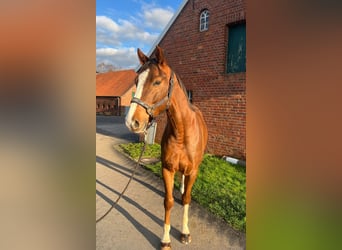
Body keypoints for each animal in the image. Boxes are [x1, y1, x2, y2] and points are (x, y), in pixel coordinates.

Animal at [125, 46, 207, 249]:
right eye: (136, 81)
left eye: (157, 82)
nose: (131, 122)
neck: (182, 132)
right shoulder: (167, 169)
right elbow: (168, 202)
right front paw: (166, 240)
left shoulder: (193, 171)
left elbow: (187, 200)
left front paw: (185, 232)